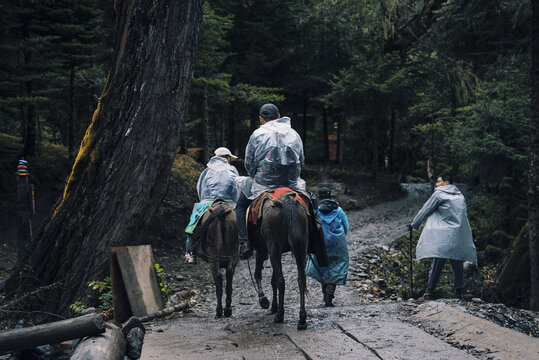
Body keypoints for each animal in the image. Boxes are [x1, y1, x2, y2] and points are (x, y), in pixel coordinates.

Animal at [248, 193, 308, 330]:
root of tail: (288, 204)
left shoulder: (263, 249)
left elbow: (259, 274)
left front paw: (264, 300)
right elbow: (272, 280)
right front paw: (273, 306)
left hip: (273, 246)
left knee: (281, 280)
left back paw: (280, 315)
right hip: (301, 246)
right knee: (301, 279)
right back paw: (302, 319)